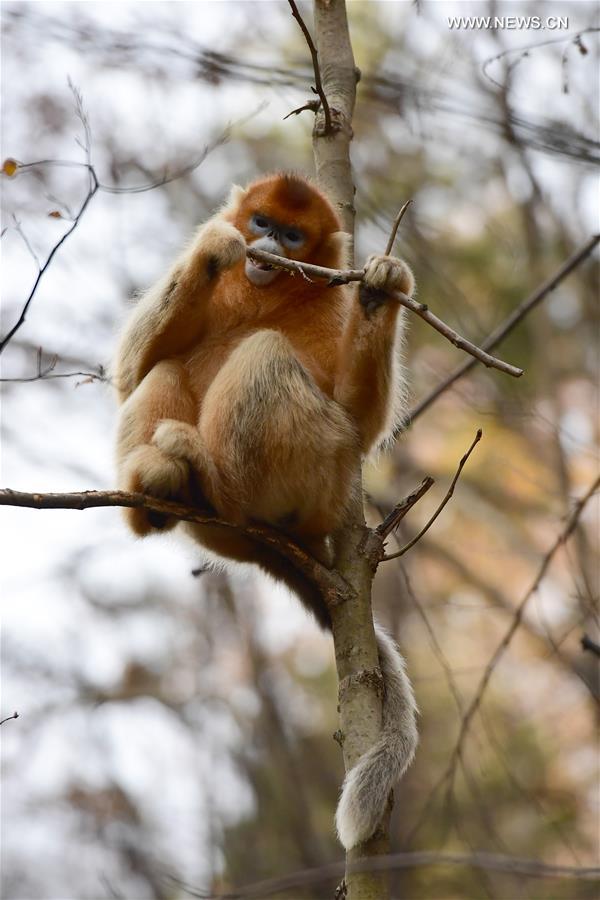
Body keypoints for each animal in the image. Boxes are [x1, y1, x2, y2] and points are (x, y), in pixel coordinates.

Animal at [114, 172, 418, 850]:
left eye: (293, 236)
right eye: (261, 222)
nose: (268, 246)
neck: (271, 295)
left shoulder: (334, 305)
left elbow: (359, 420)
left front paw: (381, 290)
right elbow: (128, 372)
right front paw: (213, 249)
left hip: (322, 479)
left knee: (267, 355)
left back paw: (209, 478)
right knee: (162, 367)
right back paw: (161, 489)